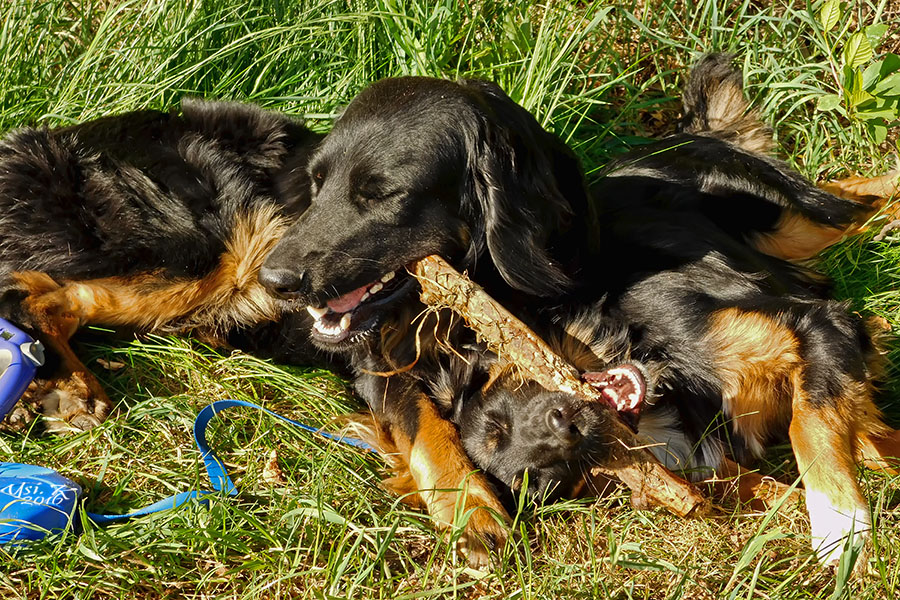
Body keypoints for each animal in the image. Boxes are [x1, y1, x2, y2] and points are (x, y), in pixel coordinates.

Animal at [264, 54, 900, 564]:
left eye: (380, 194)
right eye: (314, 186)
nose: (274, 280)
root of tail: (686, 135)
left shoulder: (817, 323)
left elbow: (809, 422)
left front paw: (841, 526)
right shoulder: (382, 365)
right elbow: (424, 429)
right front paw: (470, 507)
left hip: (795, 217)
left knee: (859, 194)